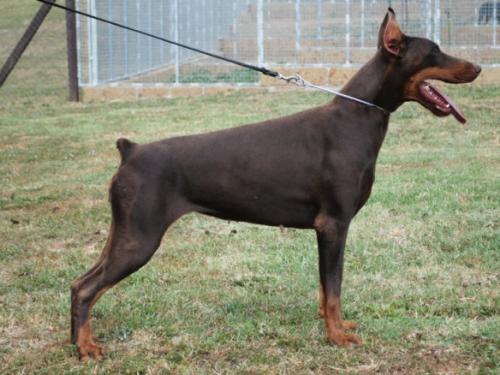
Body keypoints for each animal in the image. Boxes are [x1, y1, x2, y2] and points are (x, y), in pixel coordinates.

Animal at [70, 8, 480, 362]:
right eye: (434, 51)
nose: (477, 67)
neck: (357, 117)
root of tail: (130, 150)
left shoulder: (326, 230)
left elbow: (326, 289)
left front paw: (335, 326)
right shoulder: (333, 224)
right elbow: (334, 287)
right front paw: (337, 337)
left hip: (124, 232)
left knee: (80, 284)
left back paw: (79, 342)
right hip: (140, 238)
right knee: (88, 289)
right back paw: (86, 348)